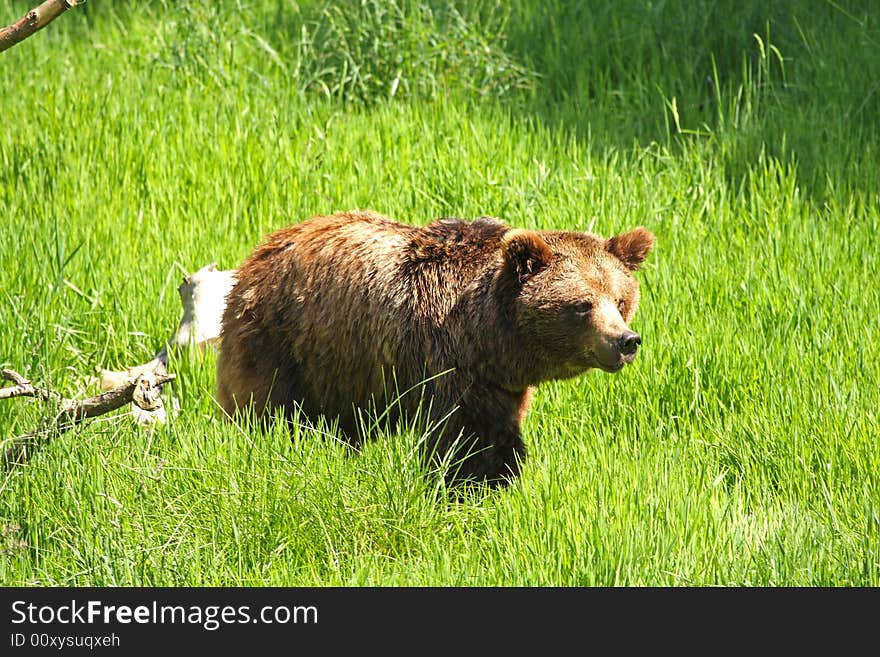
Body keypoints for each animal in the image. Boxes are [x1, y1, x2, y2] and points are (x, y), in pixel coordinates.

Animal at [214, 211, 652, 486]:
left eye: (620, 300)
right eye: (582, 304)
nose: (625, 341)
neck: (487, 337)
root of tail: (260, 251)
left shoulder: (497, 386)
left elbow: (498, 436)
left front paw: (501, 479)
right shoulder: (442, 361)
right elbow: (460, 441)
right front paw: (462, 484)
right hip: (280, 341)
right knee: (260, 408)